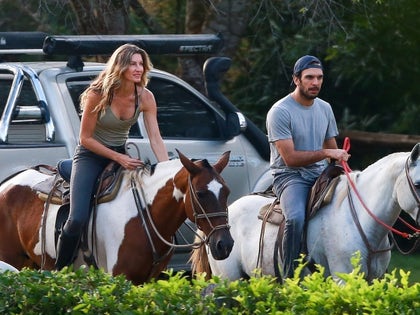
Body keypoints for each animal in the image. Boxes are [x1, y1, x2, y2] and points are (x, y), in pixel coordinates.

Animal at [0, 151, 235, 286]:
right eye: (201, 194)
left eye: (227, 192)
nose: (224, 244)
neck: (144, 215)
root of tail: (6, 184)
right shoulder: (119, 277)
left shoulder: (147, 281)